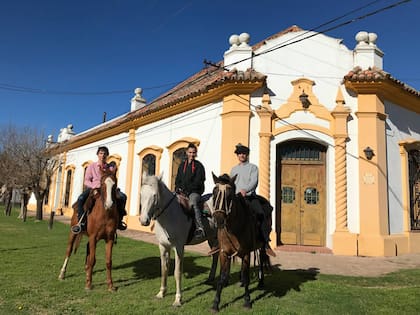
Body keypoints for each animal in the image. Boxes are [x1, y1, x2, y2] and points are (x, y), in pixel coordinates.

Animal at [140, 174, 220, 308]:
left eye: (155, 195)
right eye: (141, 194)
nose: (143, 220)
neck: (169, 216)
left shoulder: (178, 247)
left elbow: (177, 272)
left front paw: (178, 300)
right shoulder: (163, 246)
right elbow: (164, 269)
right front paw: (161, 293)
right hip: (211, 238)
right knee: (215, 256)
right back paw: (210, 278)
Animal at [212, 174, 268, 312]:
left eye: (229, 195)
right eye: (214, 193)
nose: (219, 219)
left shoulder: (247, 253)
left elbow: (247, 277)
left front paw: (247, 301)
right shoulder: (224, 253)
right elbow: (221, 278)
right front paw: (216, 303)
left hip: (261, 246)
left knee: (261, 260)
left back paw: (260, 282)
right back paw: (241, 282)